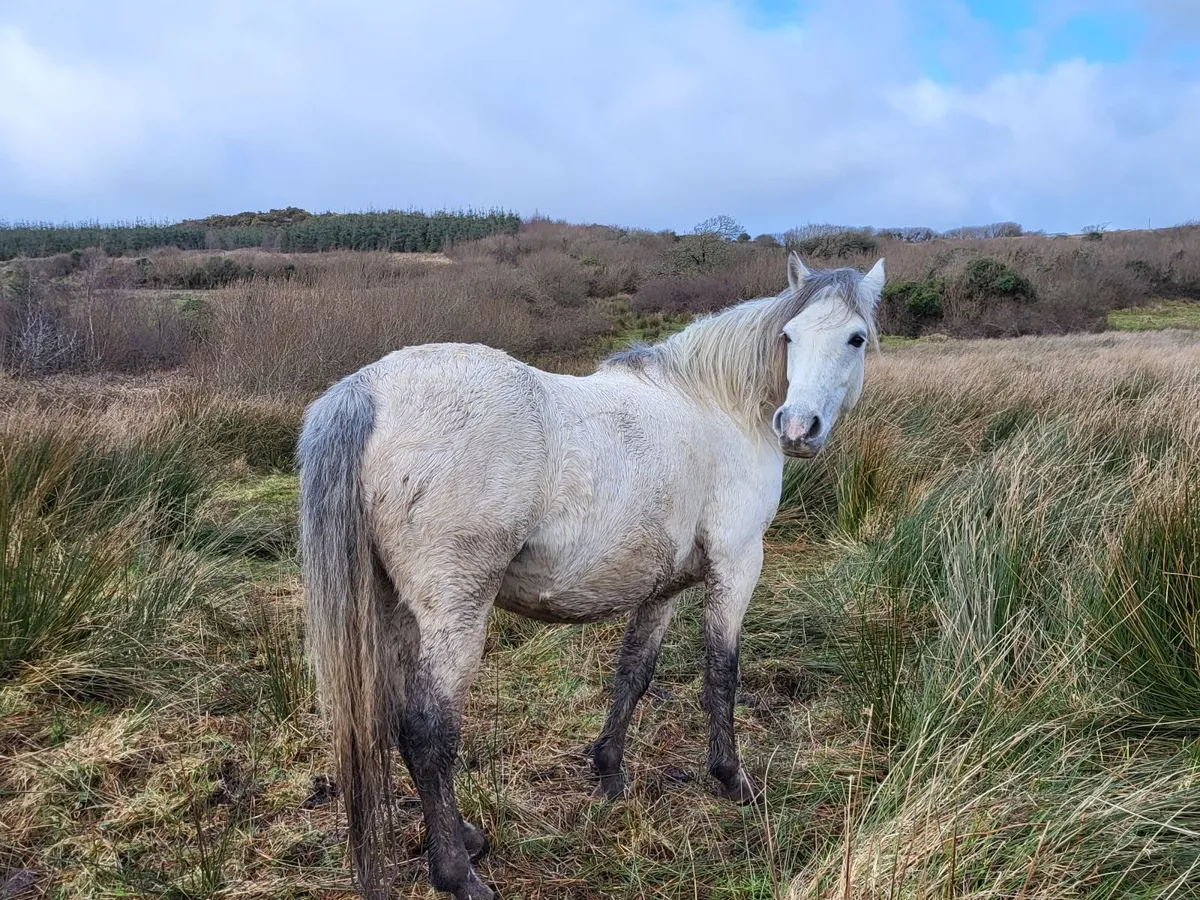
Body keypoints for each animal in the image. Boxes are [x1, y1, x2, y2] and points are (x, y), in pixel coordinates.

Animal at [297, 252, 884, 900]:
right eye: (790, 336)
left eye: (854, 338)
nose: (799, 427)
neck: (719, 407)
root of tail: (367, 390)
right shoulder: (737, 563)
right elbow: (721, 674)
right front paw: (732, 779)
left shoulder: (662, 587)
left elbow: (634, 673)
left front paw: (608, 772)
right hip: (455, 614)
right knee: (428, 732)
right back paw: (457, 872)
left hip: (396, 609)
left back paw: (465, 837)